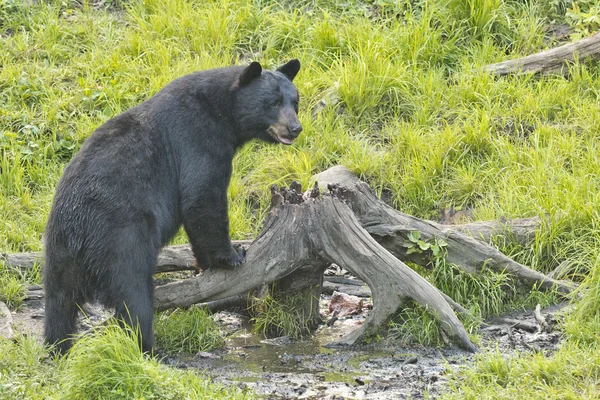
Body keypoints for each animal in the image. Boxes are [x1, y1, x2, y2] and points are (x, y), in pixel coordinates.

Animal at [44, 58, 302, 354]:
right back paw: (148, 347)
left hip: (59, 255)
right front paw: (232, 255)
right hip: (121, 238)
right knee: (133, 294)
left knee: (59, 304)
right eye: (273, 102)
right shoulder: (198, 138)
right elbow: (202, 196)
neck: (223, 112)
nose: (295, 128)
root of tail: (77, 233)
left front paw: (205, 263)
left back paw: (57, 346)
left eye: (294, 101)